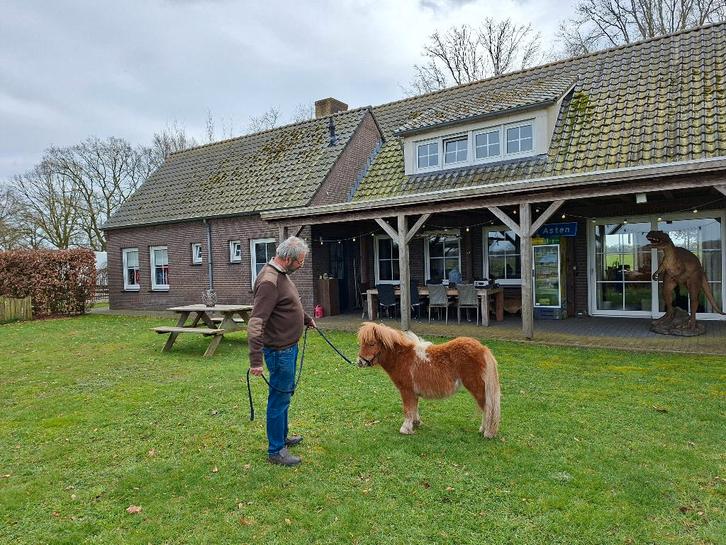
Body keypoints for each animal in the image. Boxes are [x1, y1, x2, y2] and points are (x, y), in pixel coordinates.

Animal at [357, 322, 501, 438]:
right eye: (361, 344)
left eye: (371, 343)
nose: (360, 362)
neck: (402, 357)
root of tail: (483, 348)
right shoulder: (413, 392)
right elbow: (414, 408)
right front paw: (415, 423)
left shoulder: (406, 390)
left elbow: (407, 409)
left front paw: (405, 429)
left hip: (477, 387)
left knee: (487, 408)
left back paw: (487, 432)